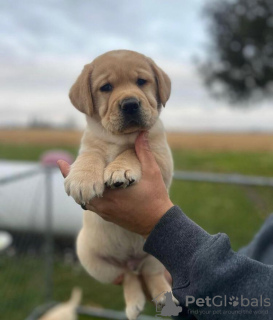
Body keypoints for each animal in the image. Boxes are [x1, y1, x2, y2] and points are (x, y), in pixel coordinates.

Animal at [64, 50, 172, 320]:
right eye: (106, 87)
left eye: (142, 82)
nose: (130, 104)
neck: (120, 137)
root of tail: (132, 261)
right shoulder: (90, 144)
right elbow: (91, 155)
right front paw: (82, 177)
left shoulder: (161, 157)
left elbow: (131, 152)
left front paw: (120, 168)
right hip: (94, 262)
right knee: (129, 277)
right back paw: (134, 303)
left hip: (160, 254)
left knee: (152, 273)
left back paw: (164, 295)